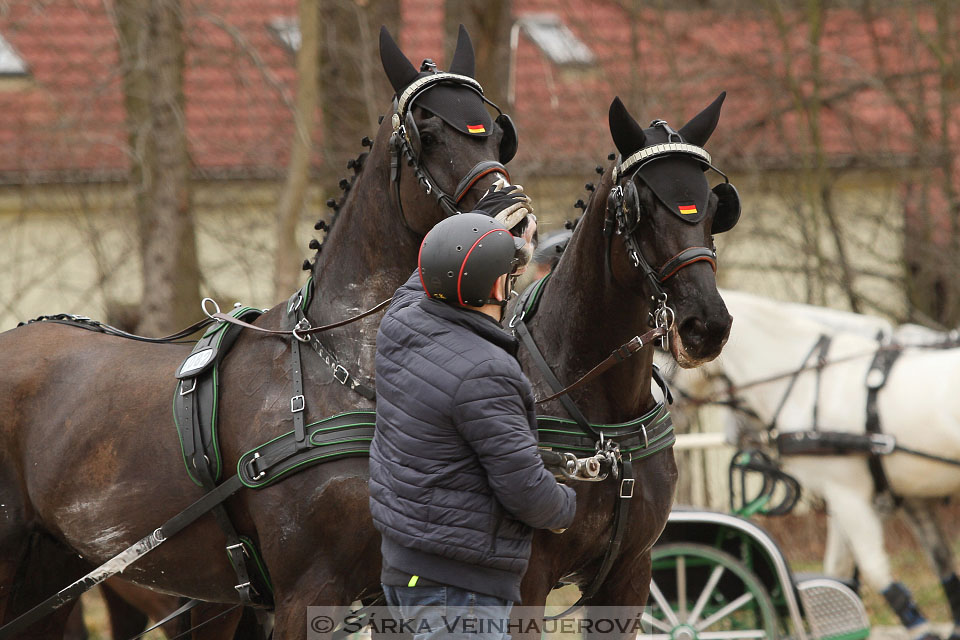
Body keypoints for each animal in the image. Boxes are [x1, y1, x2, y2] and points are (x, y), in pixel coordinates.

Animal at [0, 26, 512, 640]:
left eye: (496, 134)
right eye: (428, 134)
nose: (512, 217)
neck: (338, 368)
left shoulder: (395, 590)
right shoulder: (308, 592)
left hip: (53, 569)